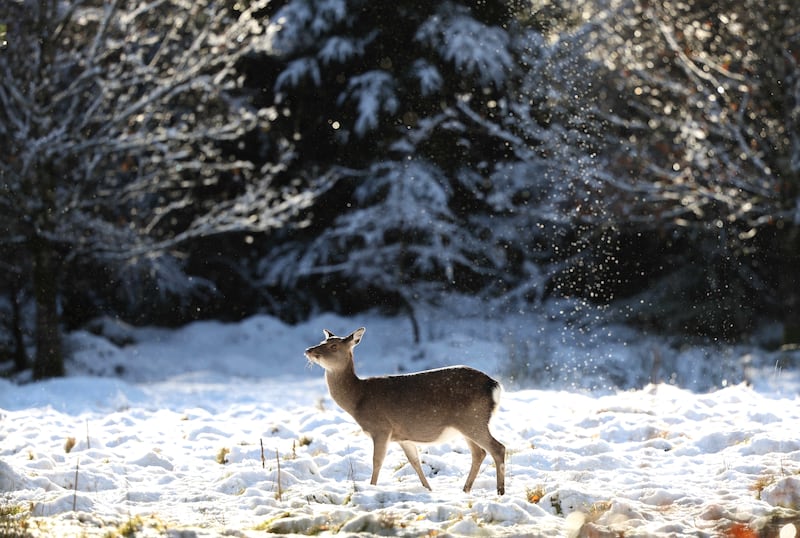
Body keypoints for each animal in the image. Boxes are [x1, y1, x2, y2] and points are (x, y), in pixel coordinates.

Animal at [304, 324, 504, 492]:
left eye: (334, 346)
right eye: (322, 342)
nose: (308, 350)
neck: (357, 399)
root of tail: (494, 386)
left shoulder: (381, 428)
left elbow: (377, 461)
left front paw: (372, 487)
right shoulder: (403, 436)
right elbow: (415, 462)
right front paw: (428, 489)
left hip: (473, 419)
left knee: (498, 448)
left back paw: (500, 492)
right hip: (467, 424)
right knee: (479, 453)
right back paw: (465, 490)